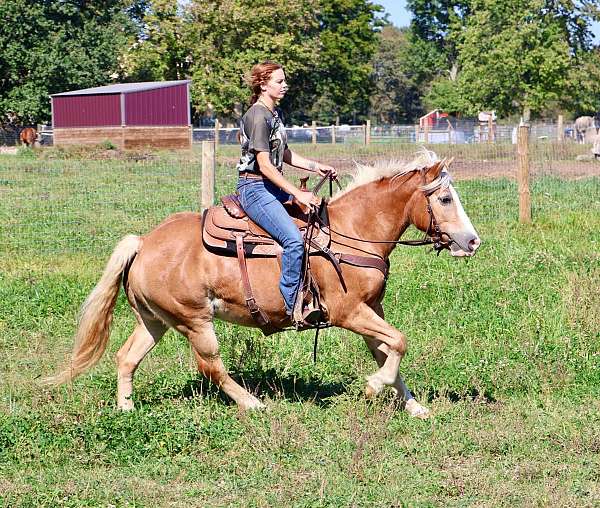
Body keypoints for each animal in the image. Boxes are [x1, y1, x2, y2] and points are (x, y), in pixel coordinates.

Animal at [44, 152, 480, 420]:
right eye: (444, 199)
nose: (473, 241)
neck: (352, 233)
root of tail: (144, 242)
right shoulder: (348, 312)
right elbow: (399, 343)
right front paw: (374, 387)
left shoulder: (371, 309)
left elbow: (387, 350)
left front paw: (413, 406)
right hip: (195, 321)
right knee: (211, 366)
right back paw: (252, 404)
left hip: (155, 321)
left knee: (126, 357)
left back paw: (127, 409)